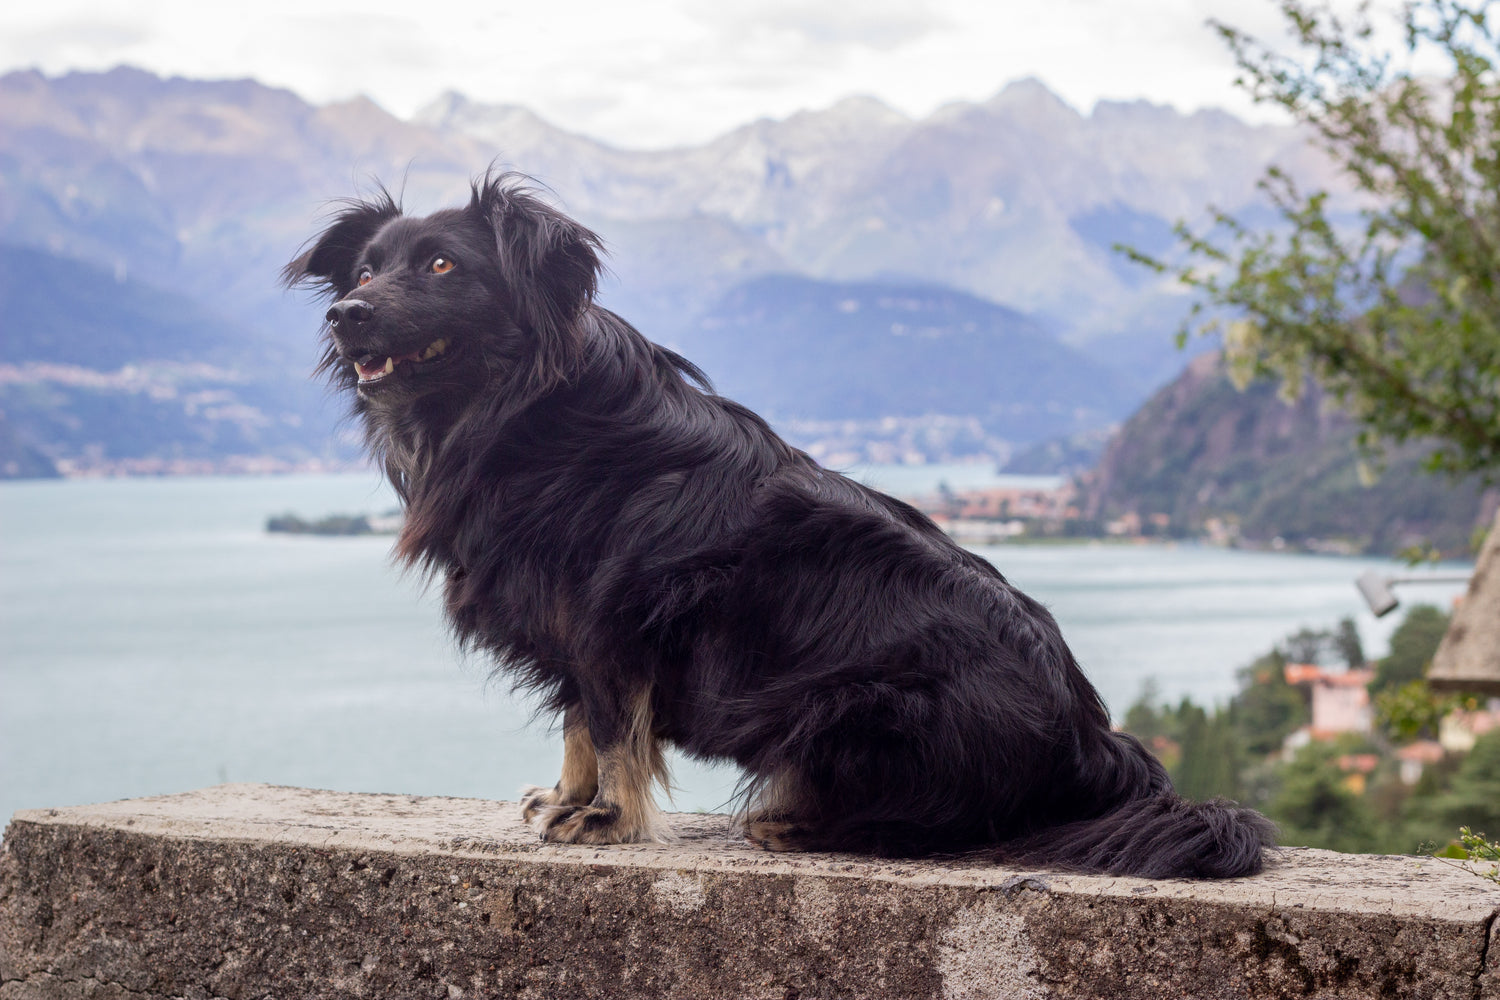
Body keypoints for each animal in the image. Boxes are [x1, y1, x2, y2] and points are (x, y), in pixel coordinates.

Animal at [286, 176, 1272, 881]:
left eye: (443, 268)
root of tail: (1094, 741)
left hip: (849, 706)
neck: (515, 406)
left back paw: (794, 824)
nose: (345, 313)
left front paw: (608, 819)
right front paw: (568, 798)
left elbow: (610, 723)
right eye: (366, 270)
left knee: (936, 825)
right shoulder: (569, 621)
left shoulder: (608, 617)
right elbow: (578, 723)